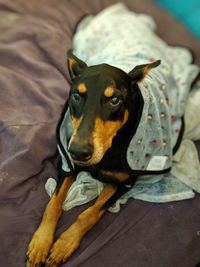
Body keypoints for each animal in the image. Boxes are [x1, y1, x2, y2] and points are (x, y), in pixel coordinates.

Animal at [26, 50, 161, 267]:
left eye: (114, 99)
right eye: (76, 95)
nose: (78, 151)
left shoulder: (124, 183)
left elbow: (89, 214)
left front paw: (64, 244)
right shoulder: (68, 165)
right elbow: (53, 204)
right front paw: (40, 243)